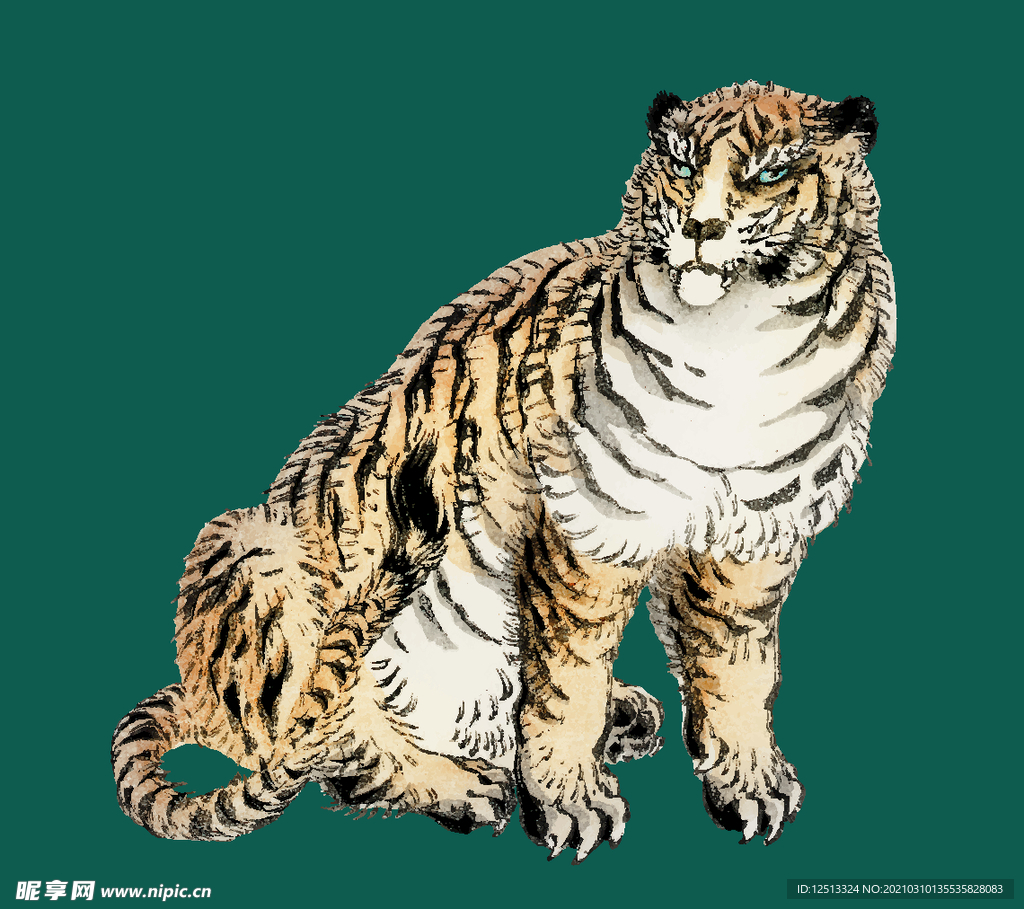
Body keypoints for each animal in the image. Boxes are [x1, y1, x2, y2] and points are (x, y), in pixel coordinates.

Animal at [112, 80, 895, 862]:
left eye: (770, 172)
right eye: (680, 163)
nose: (700, 227)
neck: (741, 345)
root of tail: (200, 699)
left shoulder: (752, 542)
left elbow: (738, 670)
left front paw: (750, 783)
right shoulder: (584, 535)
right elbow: (567, 685)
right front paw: (573, 804)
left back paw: (623, 714)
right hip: (251, 547)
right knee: (327, 747)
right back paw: (462, 785)